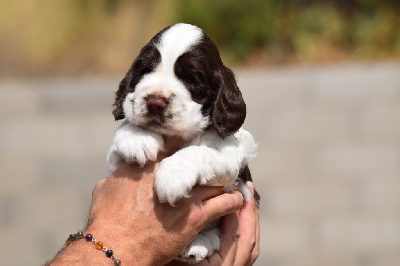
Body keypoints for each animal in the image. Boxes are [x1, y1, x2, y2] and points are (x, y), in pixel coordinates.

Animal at [105, 22, 260, 262]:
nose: (155, 102)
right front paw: (137, 137)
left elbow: (197, 151)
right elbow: (125, 129)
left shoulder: (230, 155)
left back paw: (198, 244)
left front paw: (172, 176)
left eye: (192, 79)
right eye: (144, 70)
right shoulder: (114, 163)